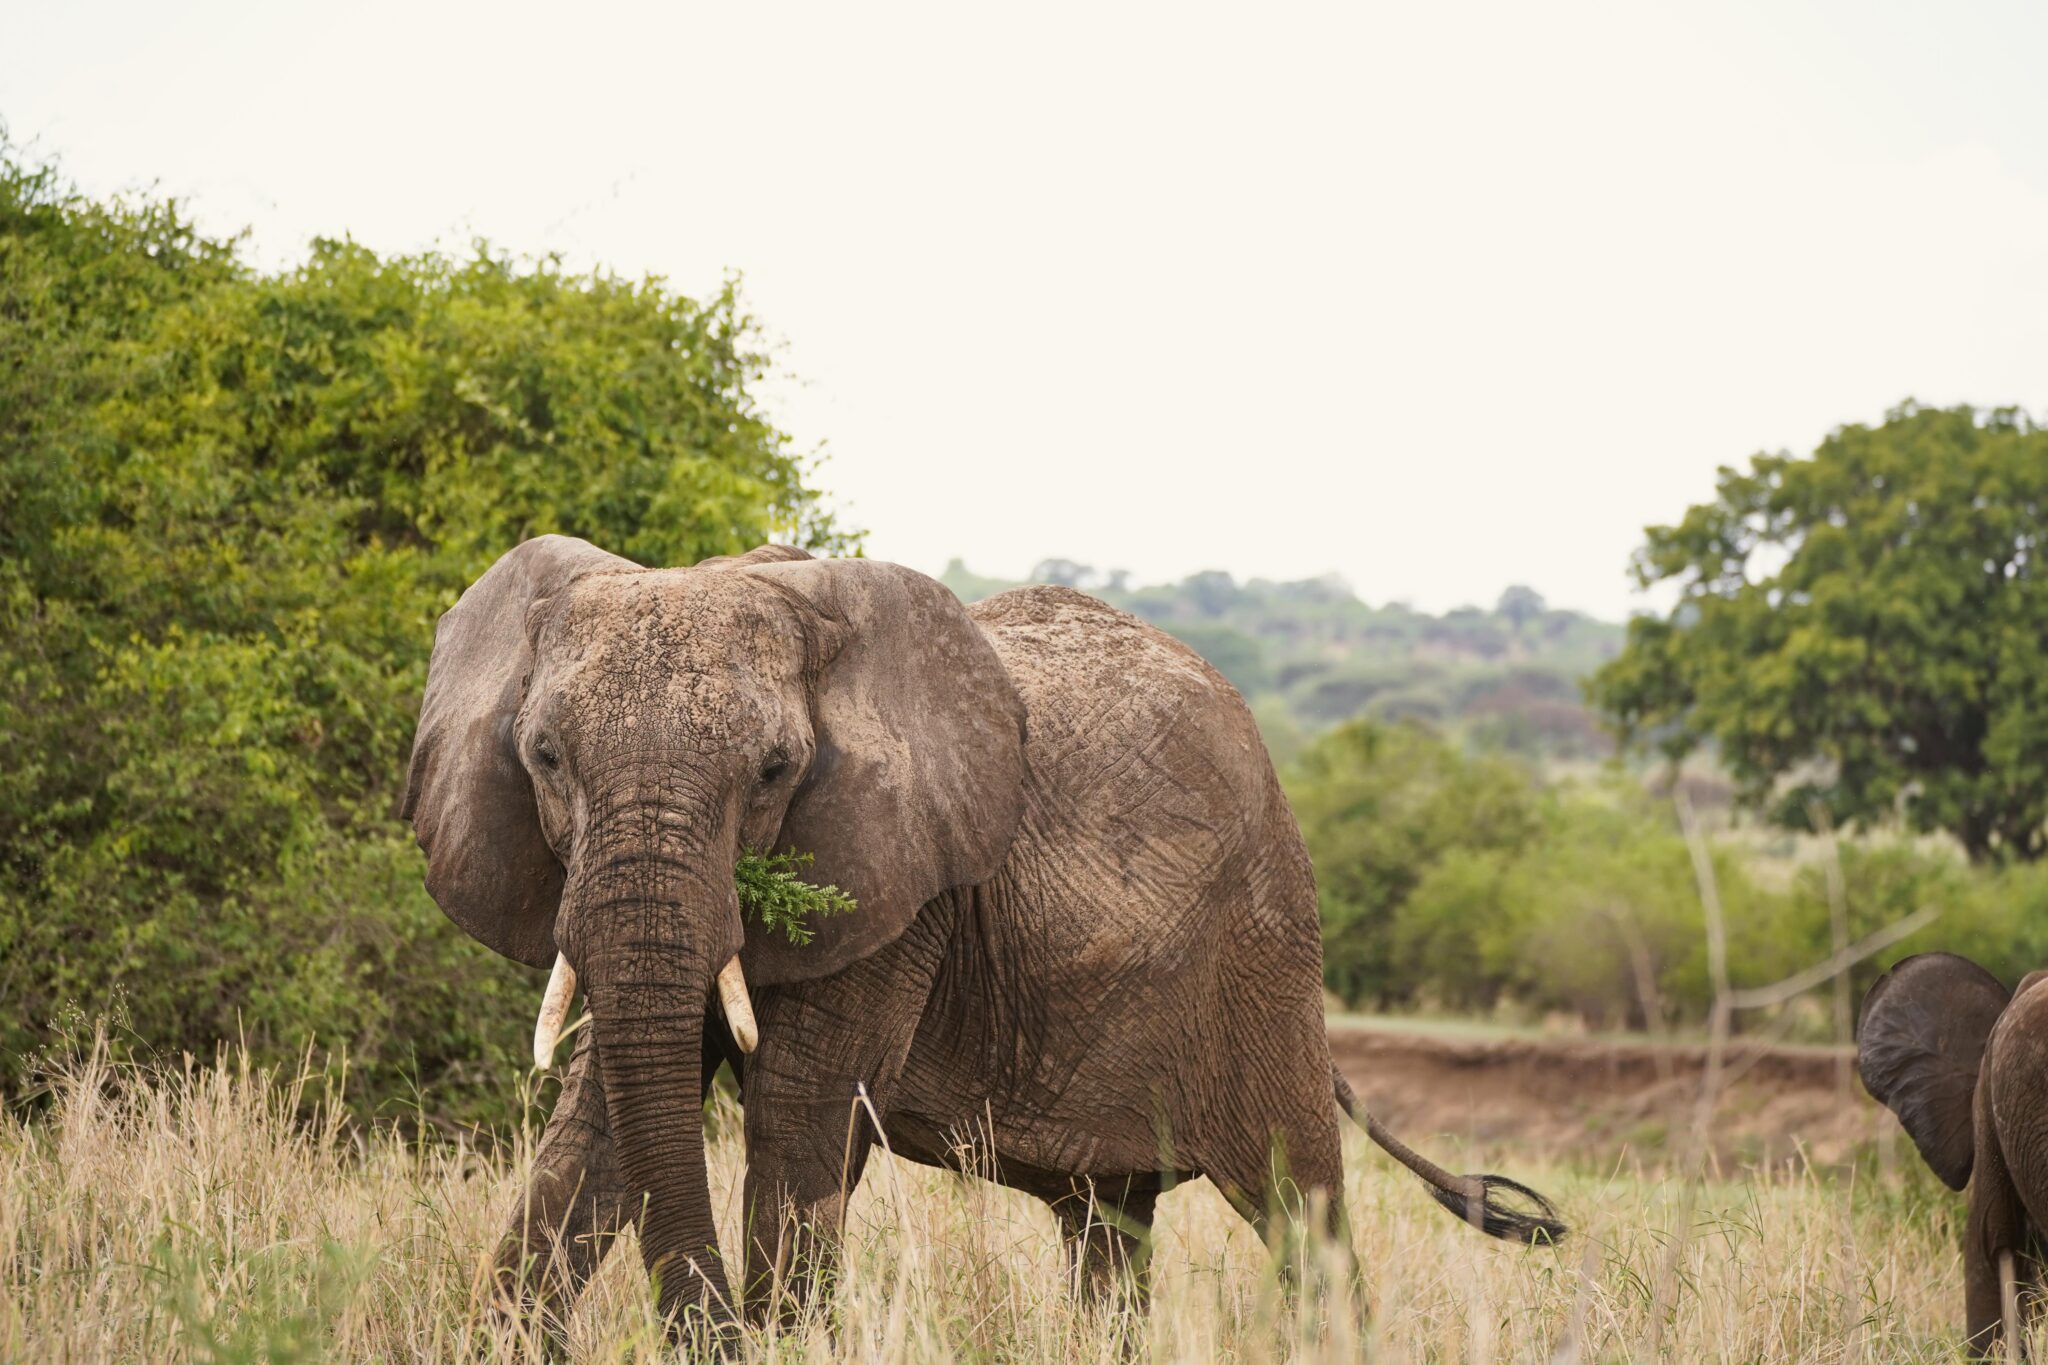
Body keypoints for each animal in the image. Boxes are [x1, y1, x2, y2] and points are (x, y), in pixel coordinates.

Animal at [403, 536, 1565, 1340]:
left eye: (775, 770)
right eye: (545, 757)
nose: (715, 1331)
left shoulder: (907, 890)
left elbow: (801, 1114)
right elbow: (598, 1121)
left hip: (1267, 953)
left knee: (1301, 1212)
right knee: (1108, 1230)